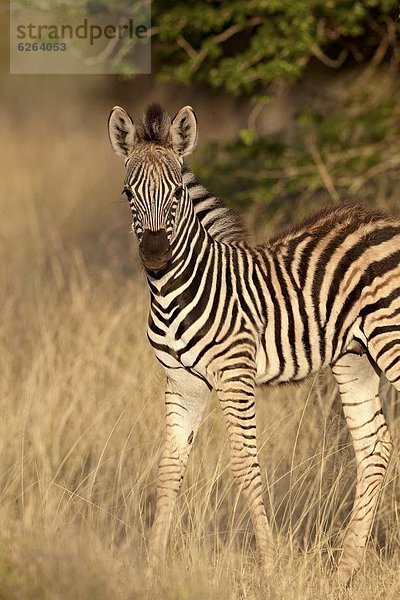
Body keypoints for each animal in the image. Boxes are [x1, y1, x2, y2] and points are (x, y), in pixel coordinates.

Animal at [108, 102, 396, 580]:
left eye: (176, 194)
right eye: (129, 194)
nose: (155, 255)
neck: (173, 291)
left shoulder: (234, 374)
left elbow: (246, 466)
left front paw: (270, 567)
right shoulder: (182, 382)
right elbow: (169, 468)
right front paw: (152, 568)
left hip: (390, 341)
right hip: (354, 357)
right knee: (374, 448)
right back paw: (344, 572)